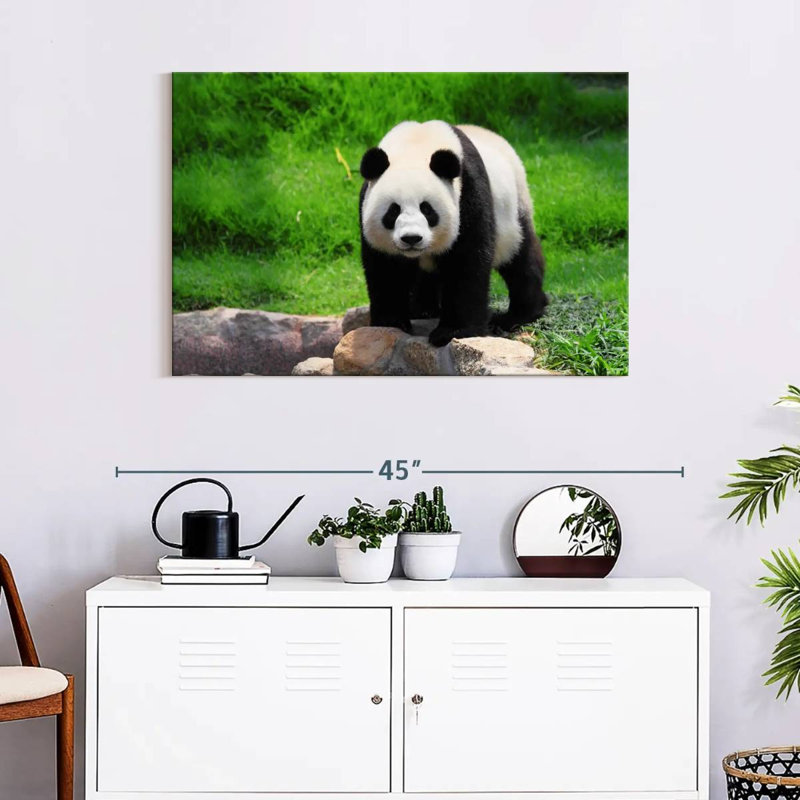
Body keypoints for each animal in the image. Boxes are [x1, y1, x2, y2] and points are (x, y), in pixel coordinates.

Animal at [359, 120, 547, 347]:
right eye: (393, 211)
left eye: (427, 209)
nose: (412, 238)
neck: (416, 144)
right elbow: (387, 269)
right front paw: (391, 322)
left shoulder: (468, 193)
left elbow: (466, 262)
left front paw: (452, 332)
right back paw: (422, 309)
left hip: (514, 211)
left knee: (521, 259)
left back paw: (518, 315)